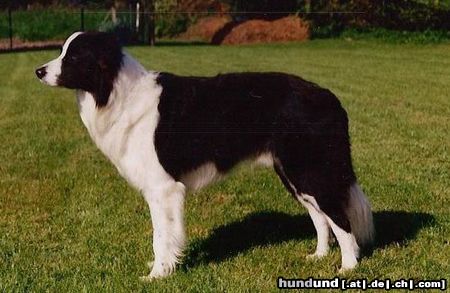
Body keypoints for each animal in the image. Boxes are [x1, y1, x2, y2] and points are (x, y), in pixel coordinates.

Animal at [35, 32, 374, 278]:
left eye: (73, 56)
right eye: (63, 51)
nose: (38, 71)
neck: (116, 92)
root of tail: (330, 97)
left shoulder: (163, 188)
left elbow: (161, 234)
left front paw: (159, 274)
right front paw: (163, 268)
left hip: (310, 170)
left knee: (340, 218)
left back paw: (348, 267)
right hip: (294, 174)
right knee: (320, 216)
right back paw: (318, 256)